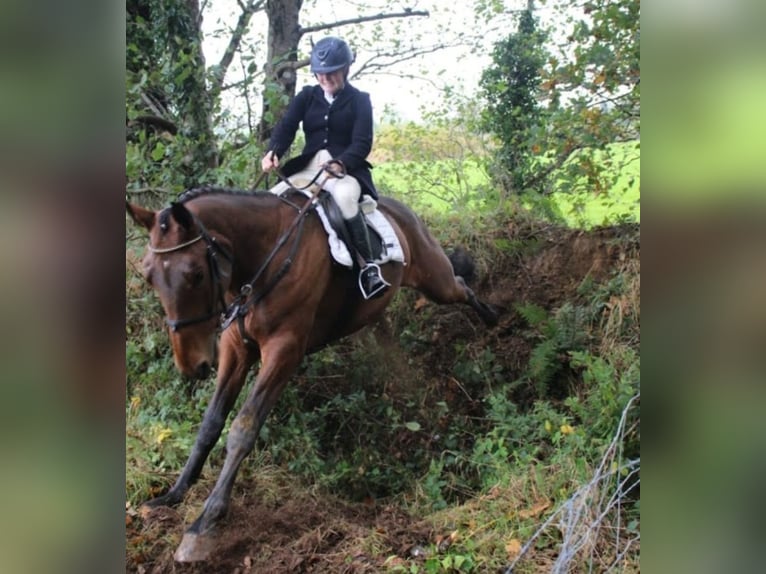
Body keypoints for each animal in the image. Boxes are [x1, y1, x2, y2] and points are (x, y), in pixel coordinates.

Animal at [126, 184, 498, 564]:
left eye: (196, 273)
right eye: (148, 274)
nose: (193, 365)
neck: (262, 259)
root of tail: (399, 208)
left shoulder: (284, 350)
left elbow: (243, 428)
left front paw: (205, 523)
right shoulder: (235, 346)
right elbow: (210, 424)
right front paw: (175, 493)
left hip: (435, 281)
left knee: (461, 285)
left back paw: (492, 318)